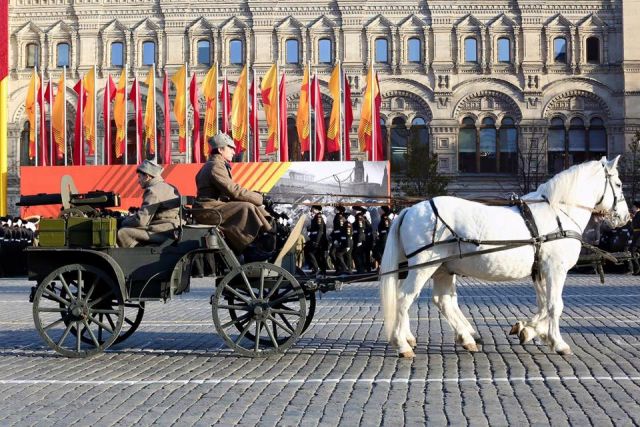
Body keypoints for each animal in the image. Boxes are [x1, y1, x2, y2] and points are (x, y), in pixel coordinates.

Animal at [380, 157, 632, 358]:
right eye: (619, 184)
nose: (625, 217)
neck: (558, 212)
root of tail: (410, 210)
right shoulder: (555, 269)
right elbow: (554, 305)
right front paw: (558, 342)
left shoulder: (540, 271)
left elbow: (542, 305)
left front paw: (530, 330)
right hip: (423, 266)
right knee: (404, 298)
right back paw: (402, 344)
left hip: (442, 268)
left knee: (443, 301)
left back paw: (466, 338)